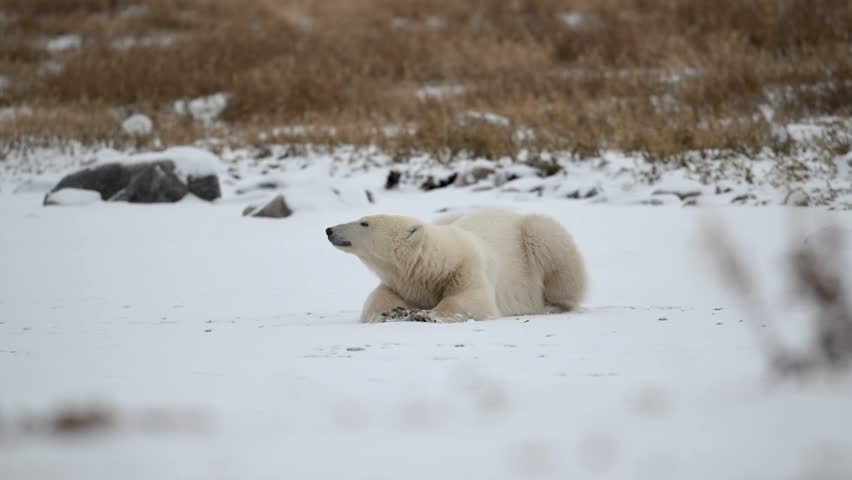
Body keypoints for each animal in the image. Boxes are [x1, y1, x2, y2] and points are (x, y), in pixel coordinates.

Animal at [326, 208, 588, 323]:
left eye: (364, 223)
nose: (329, 230)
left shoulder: (468, 268)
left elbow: (471, 300)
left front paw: (426, 314)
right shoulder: (405, 283)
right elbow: (377, 300)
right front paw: (392, 312)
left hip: (538, 238)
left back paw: (551, 306)